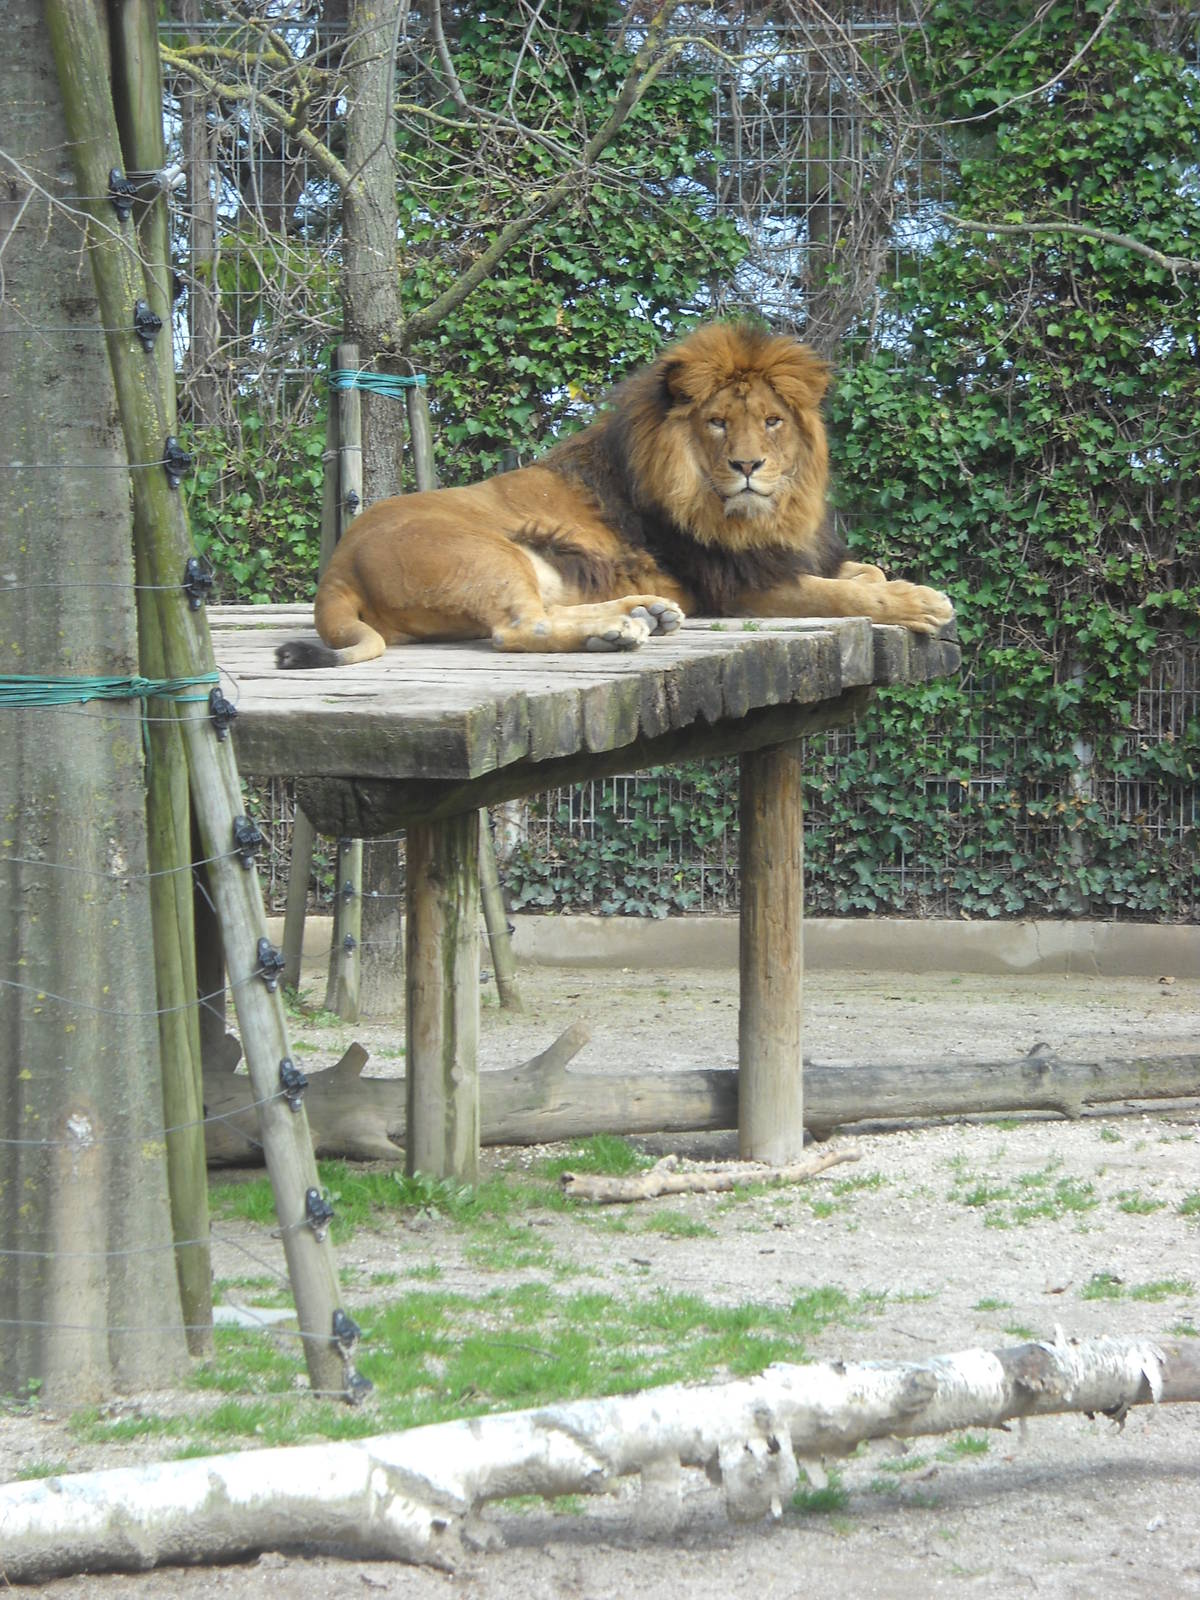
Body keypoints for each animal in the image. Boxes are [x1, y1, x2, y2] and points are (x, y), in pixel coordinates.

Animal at [275, 322, 953, 668]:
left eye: (772, 422)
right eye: (717, 423)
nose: (748, 465)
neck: (755, 515)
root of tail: (337, 568)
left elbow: (859, 572)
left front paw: (886, 581)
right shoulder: (741, 586)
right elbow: (837, 591)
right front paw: (919, 601)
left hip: (536, 565)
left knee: (544, 613)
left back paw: (643, 614)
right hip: (484, 553)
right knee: (518, 629)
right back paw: (619, 632)